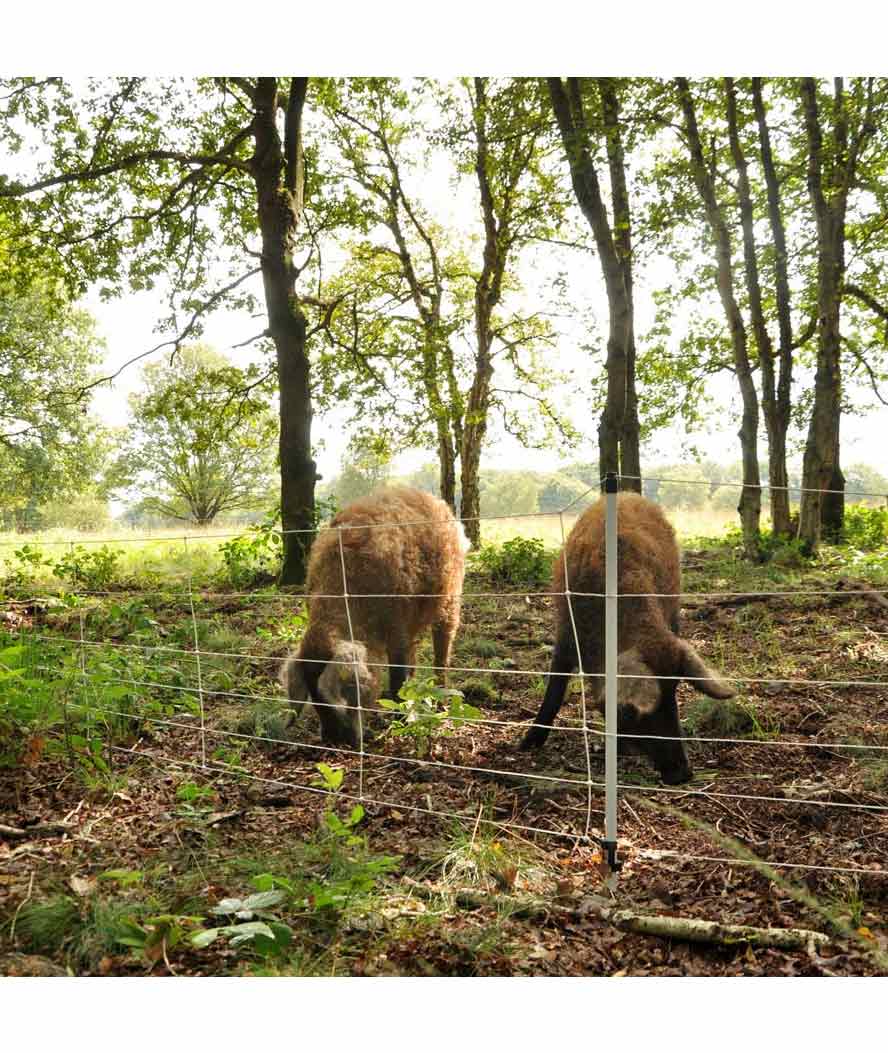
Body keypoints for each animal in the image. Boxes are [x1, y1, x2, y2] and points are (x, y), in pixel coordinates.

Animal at [282, 486, 471, 749]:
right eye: (312, 695)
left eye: (343, 689)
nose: (333, 740)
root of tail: (437, 502)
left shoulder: (397, 625)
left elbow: (397, 676)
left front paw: (400, 723)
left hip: (451, 598)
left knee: (441, 652)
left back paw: (440, 700)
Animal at [520, 492, 737, 783]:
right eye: (638, 713)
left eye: (675, 691)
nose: (683, 773)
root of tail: (628, 494)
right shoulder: (566, 636)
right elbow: (554, 690)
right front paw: (525, 745)